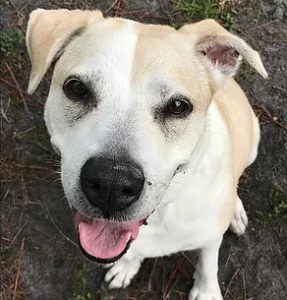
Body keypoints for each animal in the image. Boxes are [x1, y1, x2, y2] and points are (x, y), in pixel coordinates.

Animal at [26, 8, 268, 298]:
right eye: (76, 88)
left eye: (178, 106)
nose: (111, 183)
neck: (162, 212)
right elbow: (131, 253)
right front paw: (127, 266)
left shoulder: (210, 239)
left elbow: (208, 262)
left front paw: (206, 290)